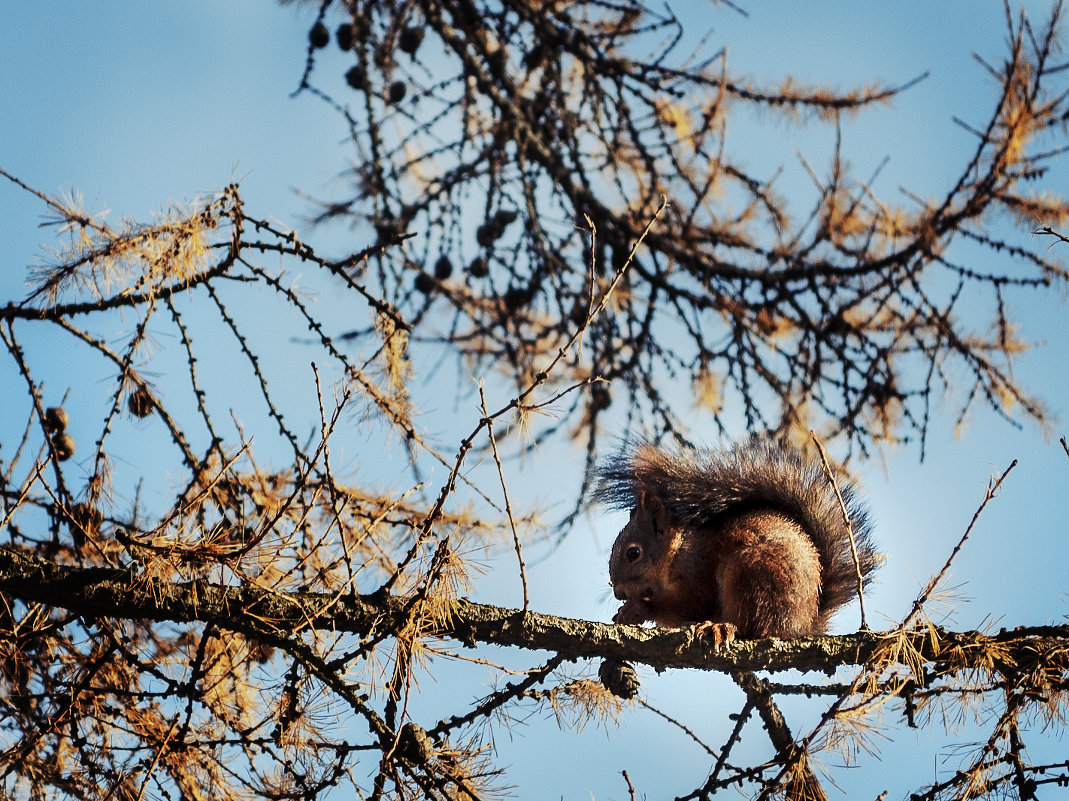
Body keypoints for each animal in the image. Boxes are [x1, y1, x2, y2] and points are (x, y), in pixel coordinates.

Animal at [598, 434, 880, 641]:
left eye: (633, 553)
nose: (618, 593)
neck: (676, 552)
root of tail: (802, 624)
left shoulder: (696, 574)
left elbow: (689, 606)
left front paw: (637, 607)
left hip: (748, 573)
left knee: (749, 623)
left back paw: (721, 627)